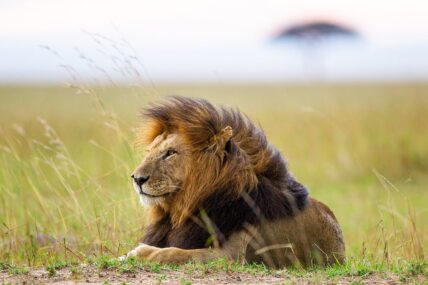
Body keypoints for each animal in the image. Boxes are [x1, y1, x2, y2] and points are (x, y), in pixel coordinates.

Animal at [123, 95, 344, 266]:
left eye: (170, 153)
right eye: (150, 152)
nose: (137, 179)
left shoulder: (232, 256)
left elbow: (175, 252)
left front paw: (136, 253)